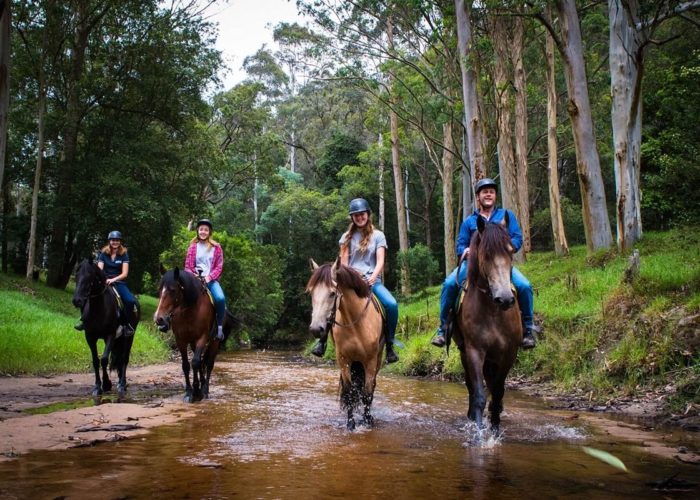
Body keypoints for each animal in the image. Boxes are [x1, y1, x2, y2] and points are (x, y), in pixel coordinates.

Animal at [72, 258, 139, 398]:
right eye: (77, 275)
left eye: (89, 276)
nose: (77, 300)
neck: (99, 308)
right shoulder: (90, 337)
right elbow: (96, 361)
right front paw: (98, 387)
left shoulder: (110, 335)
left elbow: (103, 359)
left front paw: (107, 384)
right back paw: (120, 382)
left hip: (129, 337)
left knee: (124, 359)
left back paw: (122, 385)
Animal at [154, 266, 232, 402]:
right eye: (160, 289)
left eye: (173, 290)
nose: (159, 319)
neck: (190, 309)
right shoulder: (181, 340)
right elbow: (186, 365)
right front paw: (189, 393)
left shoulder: (202, 337)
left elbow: (195, 362)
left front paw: (197, 391)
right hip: (193, 342)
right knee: (201, 362)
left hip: (214, 342)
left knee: (209, 364)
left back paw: (205, 390)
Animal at [306, 258, 382, 430]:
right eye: (311, 293)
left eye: (332, 293)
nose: (315, 329)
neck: (355, 323)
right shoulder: (344, 360)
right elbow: (349, 392)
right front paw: (351, 424)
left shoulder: (370, 361)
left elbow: (367, 393)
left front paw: (367, 422)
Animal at [452, 215, 524, 434]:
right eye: (486, 254)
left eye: (510, 251)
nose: (505, 299)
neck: (492, 312)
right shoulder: (475, 350)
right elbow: (479, 394)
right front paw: (479, 432)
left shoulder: (509, 353)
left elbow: (498, 392)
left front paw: (495, 428)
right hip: (465, 352)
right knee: (471, 385)